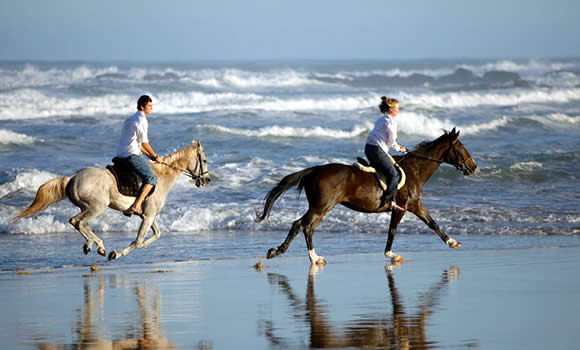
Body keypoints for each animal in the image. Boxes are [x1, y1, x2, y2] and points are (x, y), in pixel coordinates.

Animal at [13, 140, 211, 260]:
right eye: (204, 160)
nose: (207, 180)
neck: (161, 176)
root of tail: (73, 177)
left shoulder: (147, 216)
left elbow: (156, 234)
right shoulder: (148, 215)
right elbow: (139, 241)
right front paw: (116, 253)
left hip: (87, 208)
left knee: (80, 224)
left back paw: (91, 245)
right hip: (96, 208)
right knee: (77, 222)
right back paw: (99, 246)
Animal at [256, 128, 478, 262]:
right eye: (460, 146)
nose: (474, 167)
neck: (415, 170)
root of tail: (314, 170)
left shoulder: (415, 205)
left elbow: (433, 223)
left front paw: (452, 242)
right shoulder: (401, 208)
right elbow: (392, 230)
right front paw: (391, 254)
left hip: (322, 208)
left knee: (306, 227)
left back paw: (311, 257)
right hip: (321, 207)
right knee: (301, 225)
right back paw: (285, 253)